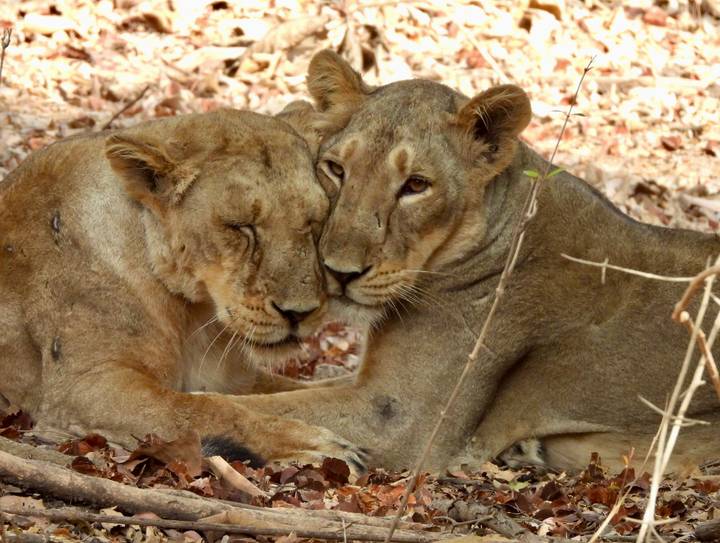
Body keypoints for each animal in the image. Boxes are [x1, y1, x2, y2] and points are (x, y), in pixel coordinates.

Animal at [0, 107, 366, 470]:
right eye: (240, 226)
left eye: (314, 223)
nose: (299, 313)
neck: (194, 313)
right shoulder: (82, 386)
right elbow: (204, 408)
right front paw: (314, 444)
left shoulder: (234, 378)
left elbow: (297, 393)